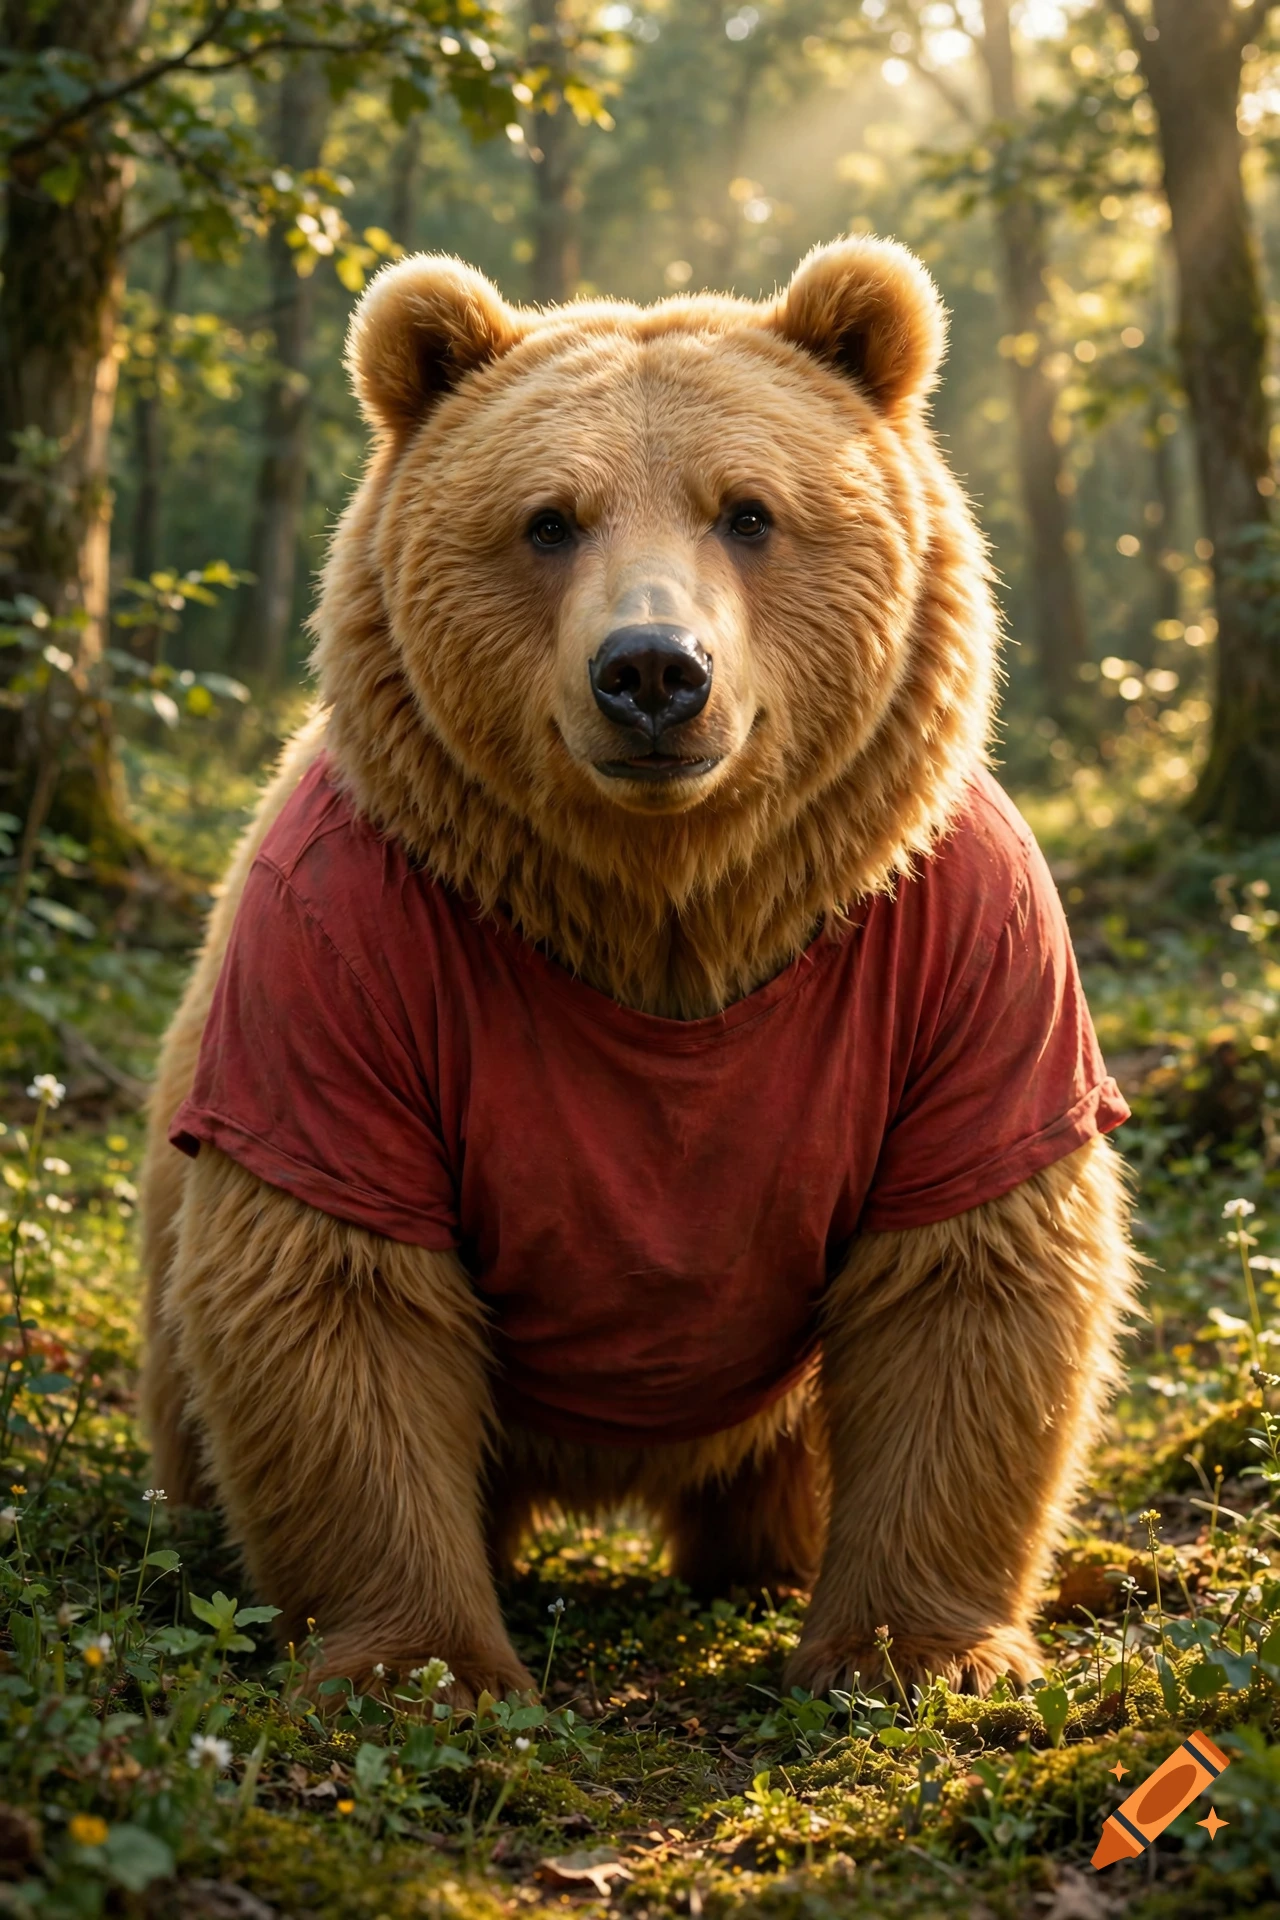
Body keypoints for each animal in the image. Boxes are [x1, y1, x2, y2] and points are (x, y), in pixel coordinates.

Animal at [139, 236, 1137, 1703]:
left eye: (748, 512)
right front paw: (422, 1661)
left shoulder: (958, 956)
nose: (654, 672)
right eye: (549, 520)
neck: (664, 904)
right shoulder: (343, 960)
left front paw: (918, 1654)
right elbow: (335, 1292)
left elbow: (969, 1276)